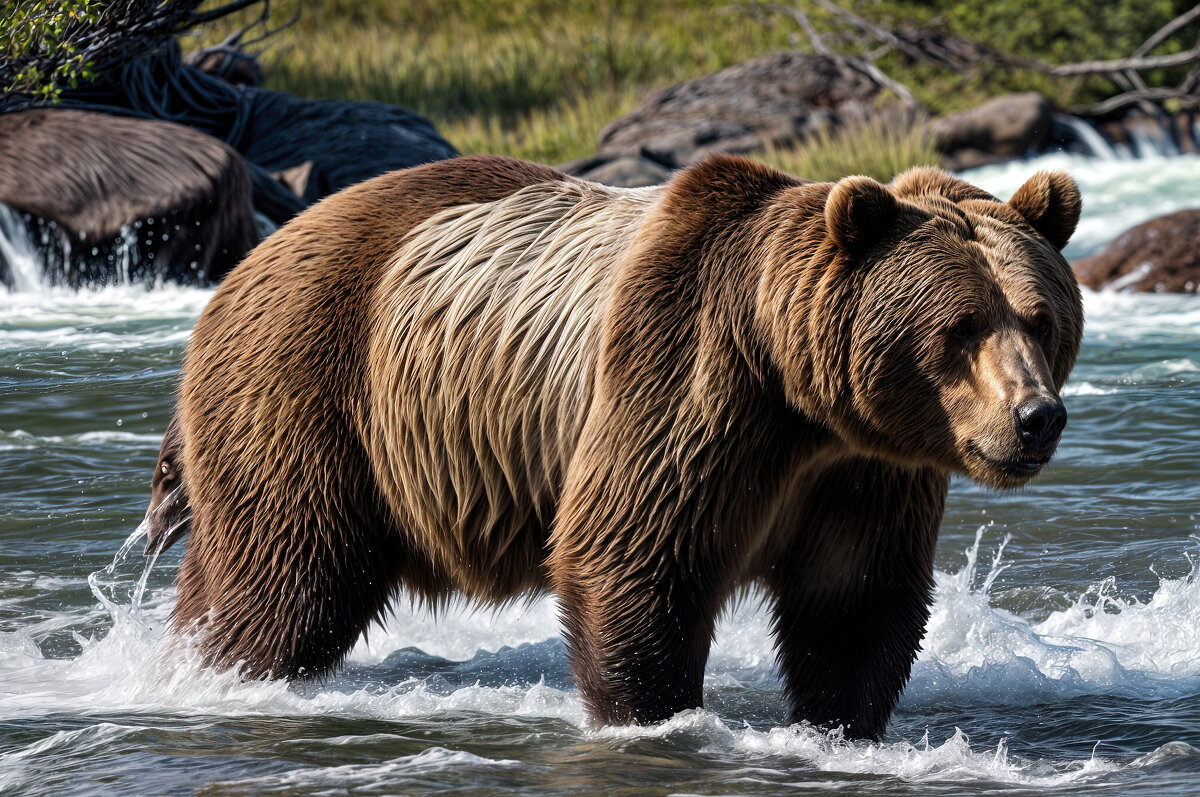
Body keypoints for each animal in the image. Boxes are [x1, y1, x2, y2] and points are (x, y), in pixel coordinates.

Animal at [171, 156, 1089, 739]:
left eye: (1040, 317)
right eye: (959, 326)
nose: (1035, 416)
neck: (798, 397)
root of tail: (250, 258)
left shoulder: (867, 472)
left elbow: (854, 598)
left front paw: (841, 722)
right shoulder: (685, 386)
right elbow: (634, 557)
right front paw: (652, 714)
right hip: (315, 388)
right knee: (291, 580)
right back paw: (226, 672)